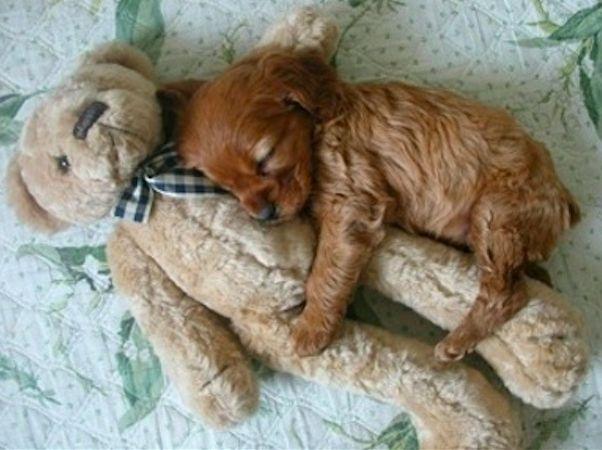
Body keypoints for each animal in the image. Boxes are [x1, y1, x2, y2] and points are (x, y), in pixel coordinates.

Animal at [176, 46, 580, 362]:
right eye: (226, 187)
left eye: (267, 158)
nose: (264, 215)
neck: (322, 124)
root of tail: (563, 197)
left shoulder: (350, 201)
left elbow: (325, 272)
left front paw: (311, 328)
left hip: (497, 215)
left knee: (507, 293)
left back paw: (457, 342)